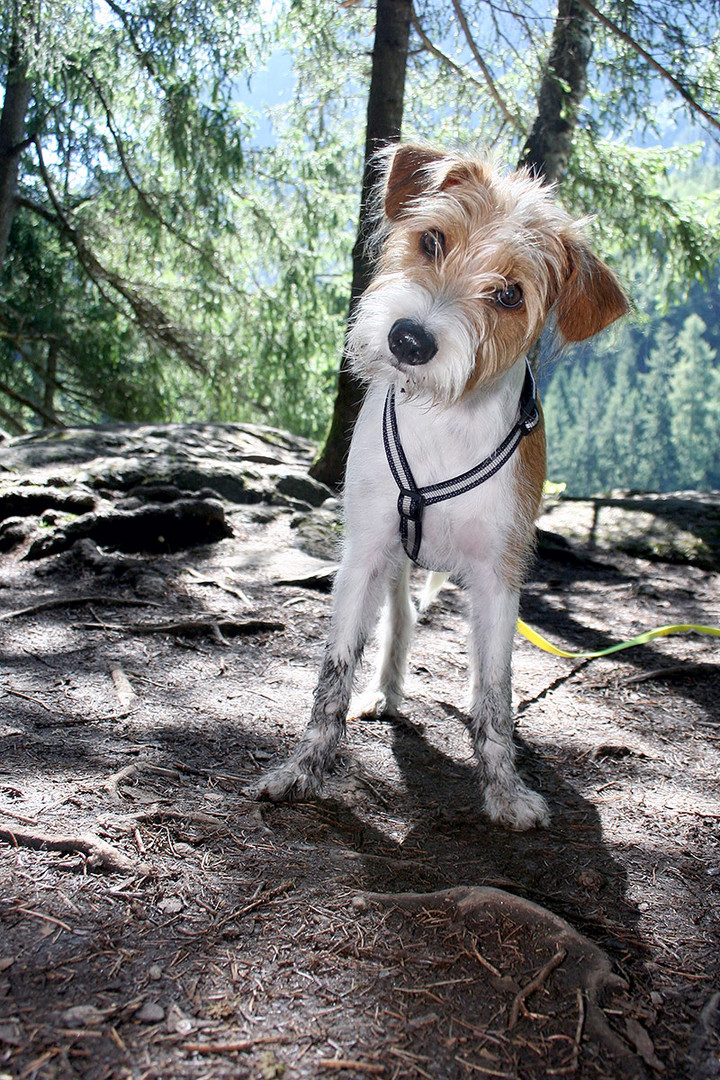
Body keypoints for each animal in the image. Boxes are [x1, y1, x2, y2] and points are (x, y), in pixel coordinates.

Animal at [255, 145, 626, 833]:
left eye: (509, 294)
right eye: (432, 240)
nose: (410, 339)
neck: (443, 419)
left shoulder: (500, 578)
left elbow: (495, 692)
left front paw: (504, 789)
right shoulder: (363, 555)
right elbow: (334, 669)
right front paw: (304, 769)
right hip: (395, 561)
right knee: (401, 618)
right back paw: (384, 690)